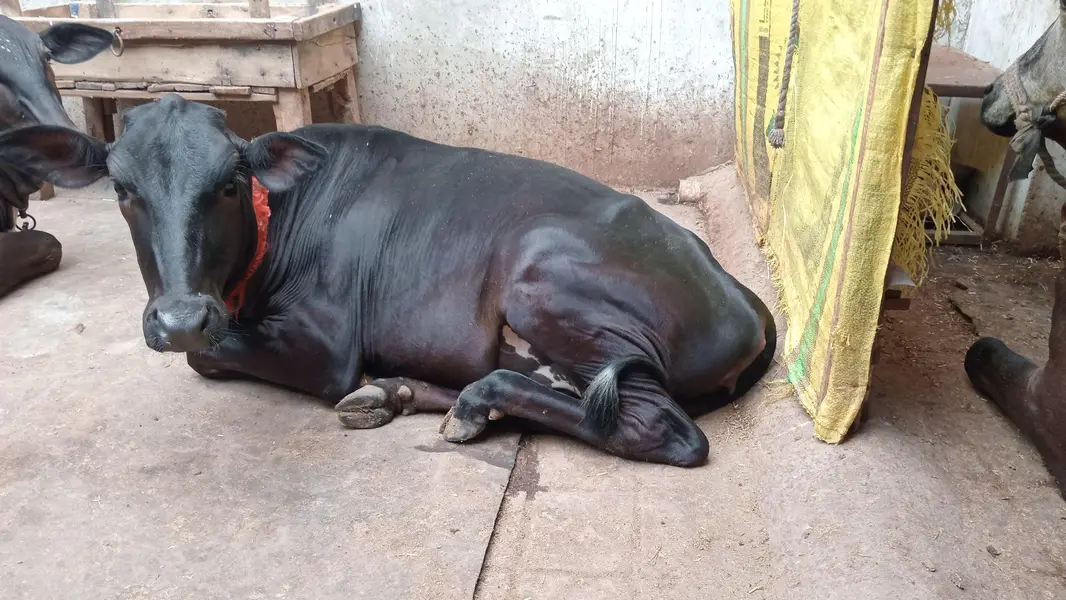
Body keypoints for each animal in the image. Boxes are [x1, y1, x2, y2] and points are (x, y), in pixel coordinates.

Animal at [0, 94, 776, 466]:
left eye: (228, 182)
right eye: (123, 189)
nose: (180, 317)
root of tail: (745, 298)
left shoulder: (325, 345)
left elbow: (208, 360)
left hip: (551, 282)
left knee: (656, 429)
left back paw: (472, 400)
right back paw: (403, 392)